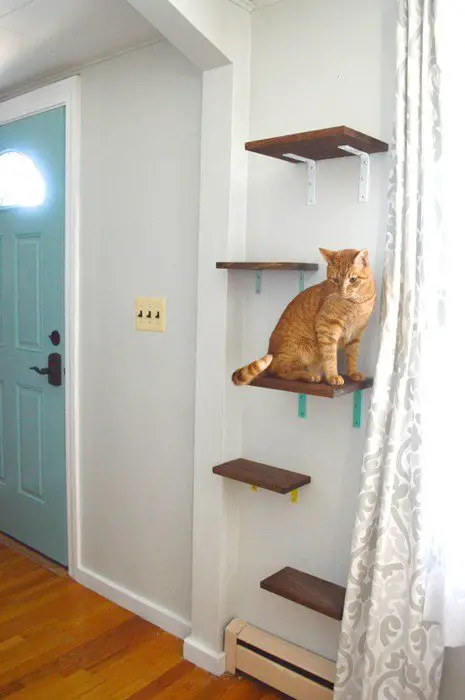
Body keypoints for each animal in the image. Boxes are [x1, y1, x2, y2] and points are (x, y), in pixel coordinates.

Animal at [231, 247, 374, 388]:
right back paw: (310, 376)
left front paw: (353, 373)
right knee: (281, 372)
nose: (342, 292)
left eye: (352, 280)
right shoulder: (327, 327)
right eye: (335, 280)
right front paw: (333, 376)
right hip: (300, 350)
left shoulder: (356, 333)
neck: (356, 303)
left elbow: (352, 356)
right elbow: (330, 357)